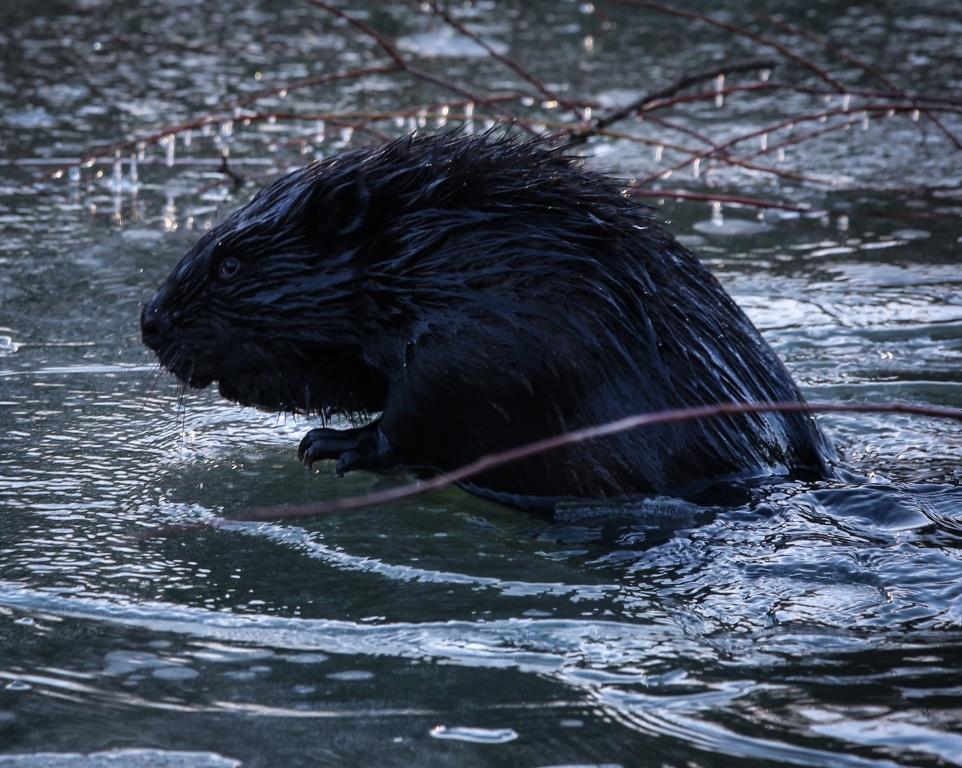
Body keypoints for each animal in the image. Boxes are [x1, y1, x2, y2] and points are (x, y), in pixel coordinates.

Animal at [139, 132, 828, 510]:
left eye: (230, 263)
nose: (150, 321)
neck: (424, 252)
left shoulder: (488, 330)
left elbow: (428, 409)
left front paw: (329, 445)